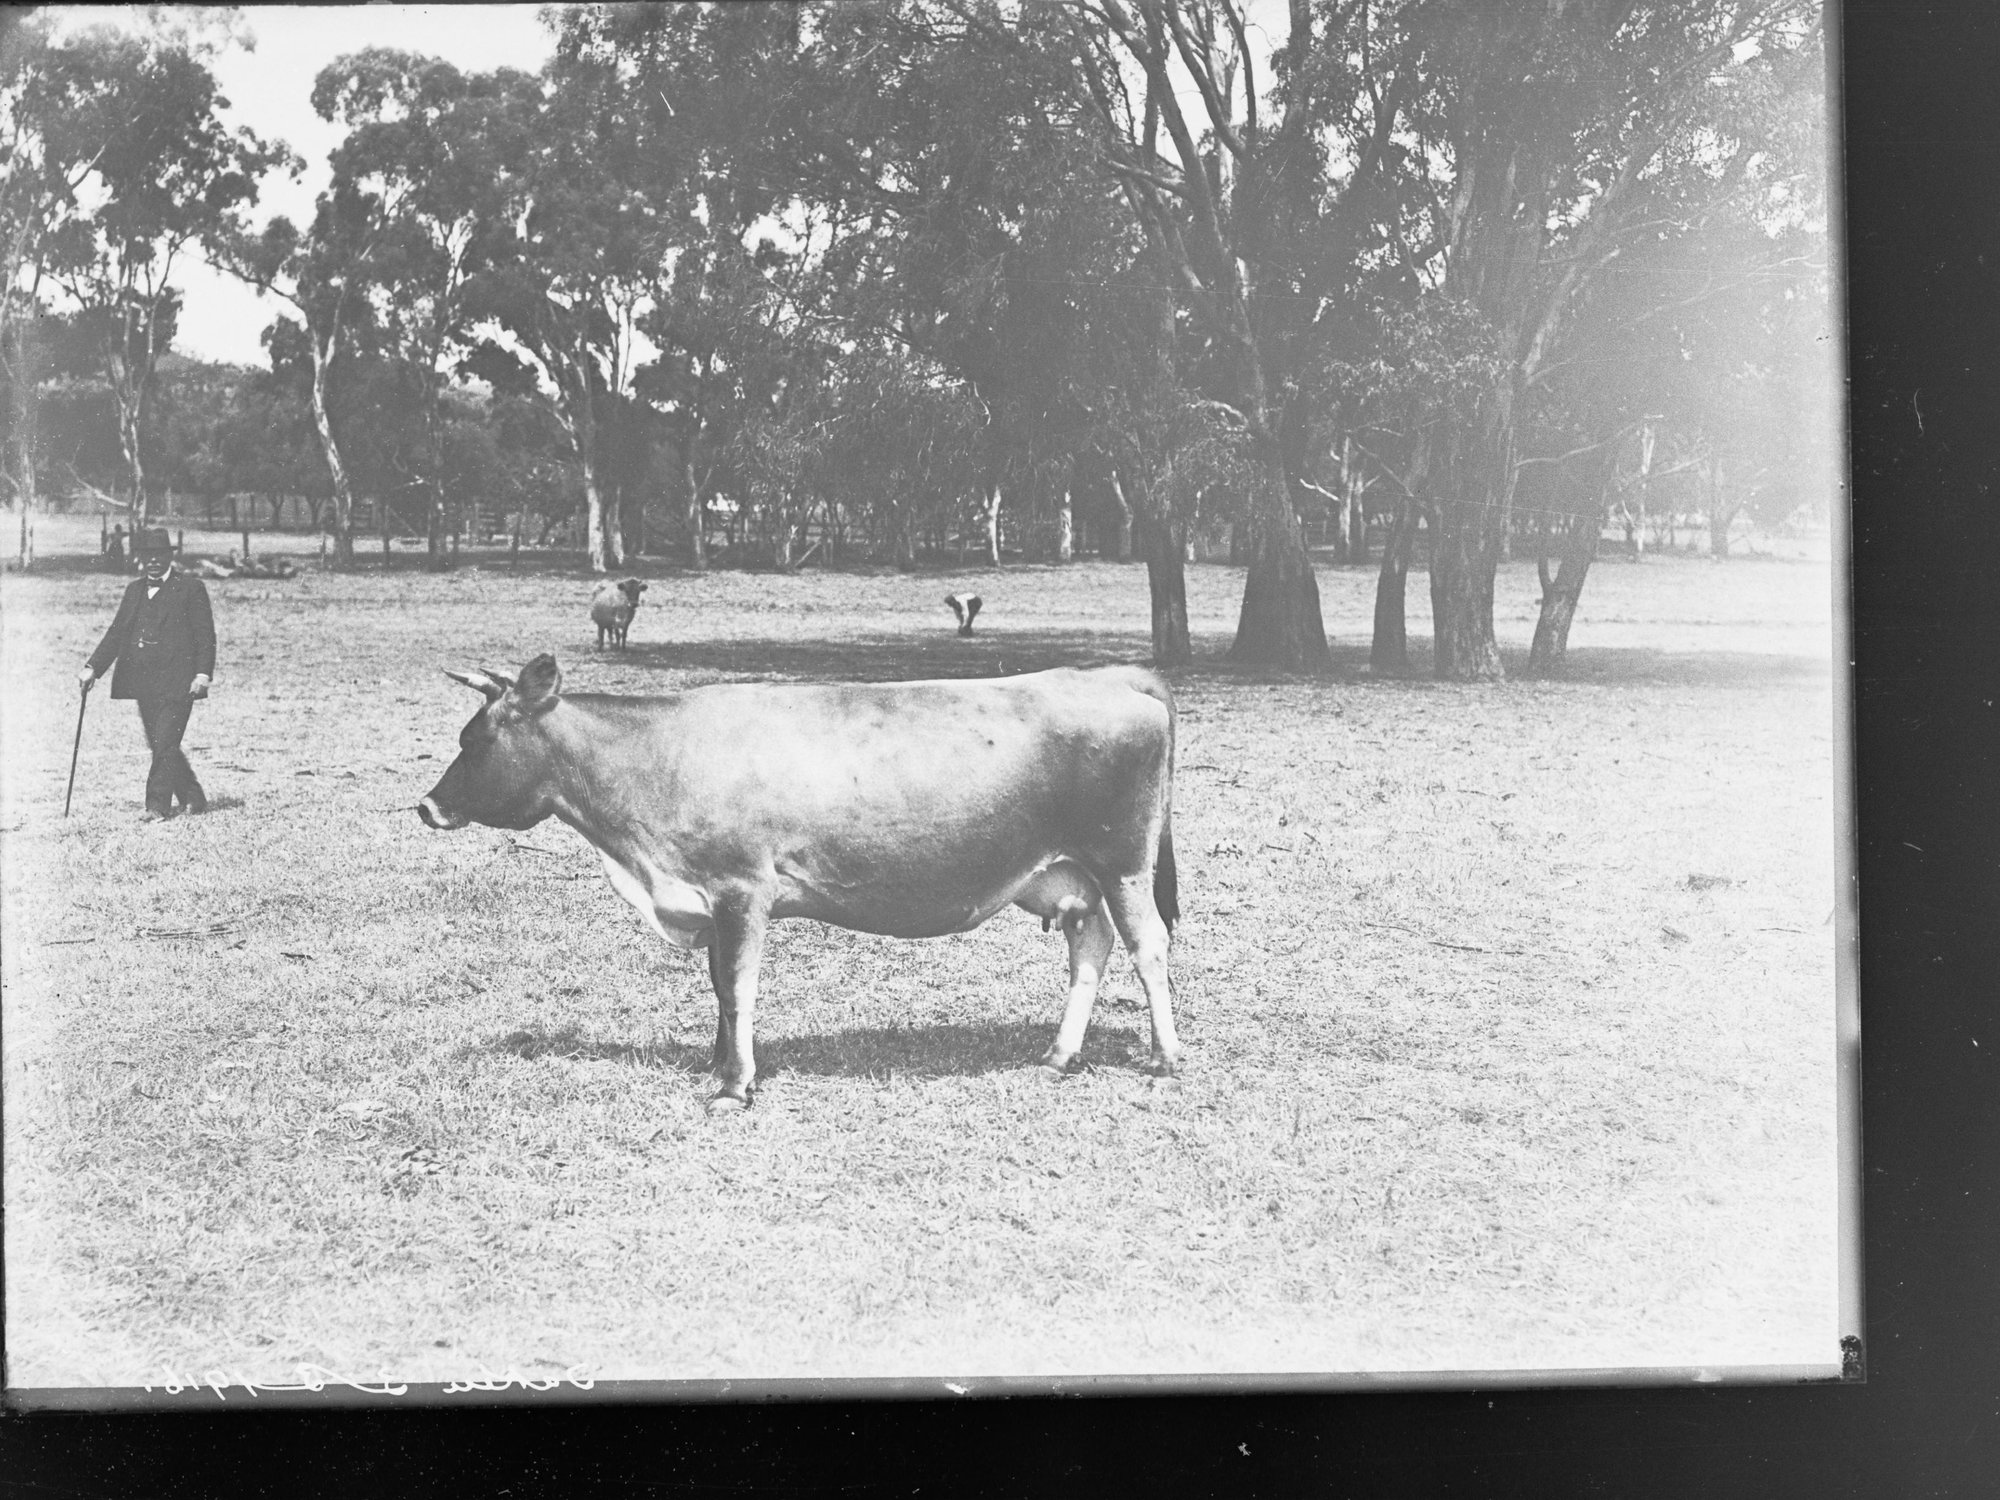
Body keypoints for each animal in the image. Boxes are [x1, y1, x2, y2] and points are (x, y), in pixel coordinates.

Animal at [416, 655, 1180, 1114]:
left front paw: (734, 1085)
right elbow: (718, 989)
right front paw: (718, 1066)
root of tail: (1110, 674)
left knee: (1147, 946)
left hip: (1122, 861)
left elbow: (736, 988)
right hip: (1073, 873)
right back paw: (1058, 1055)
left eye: (476, 740)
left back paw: (1166, 1057)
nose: (425, 806)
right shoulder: (712, 899)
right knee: (1090, 948)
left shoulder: (739, 890)